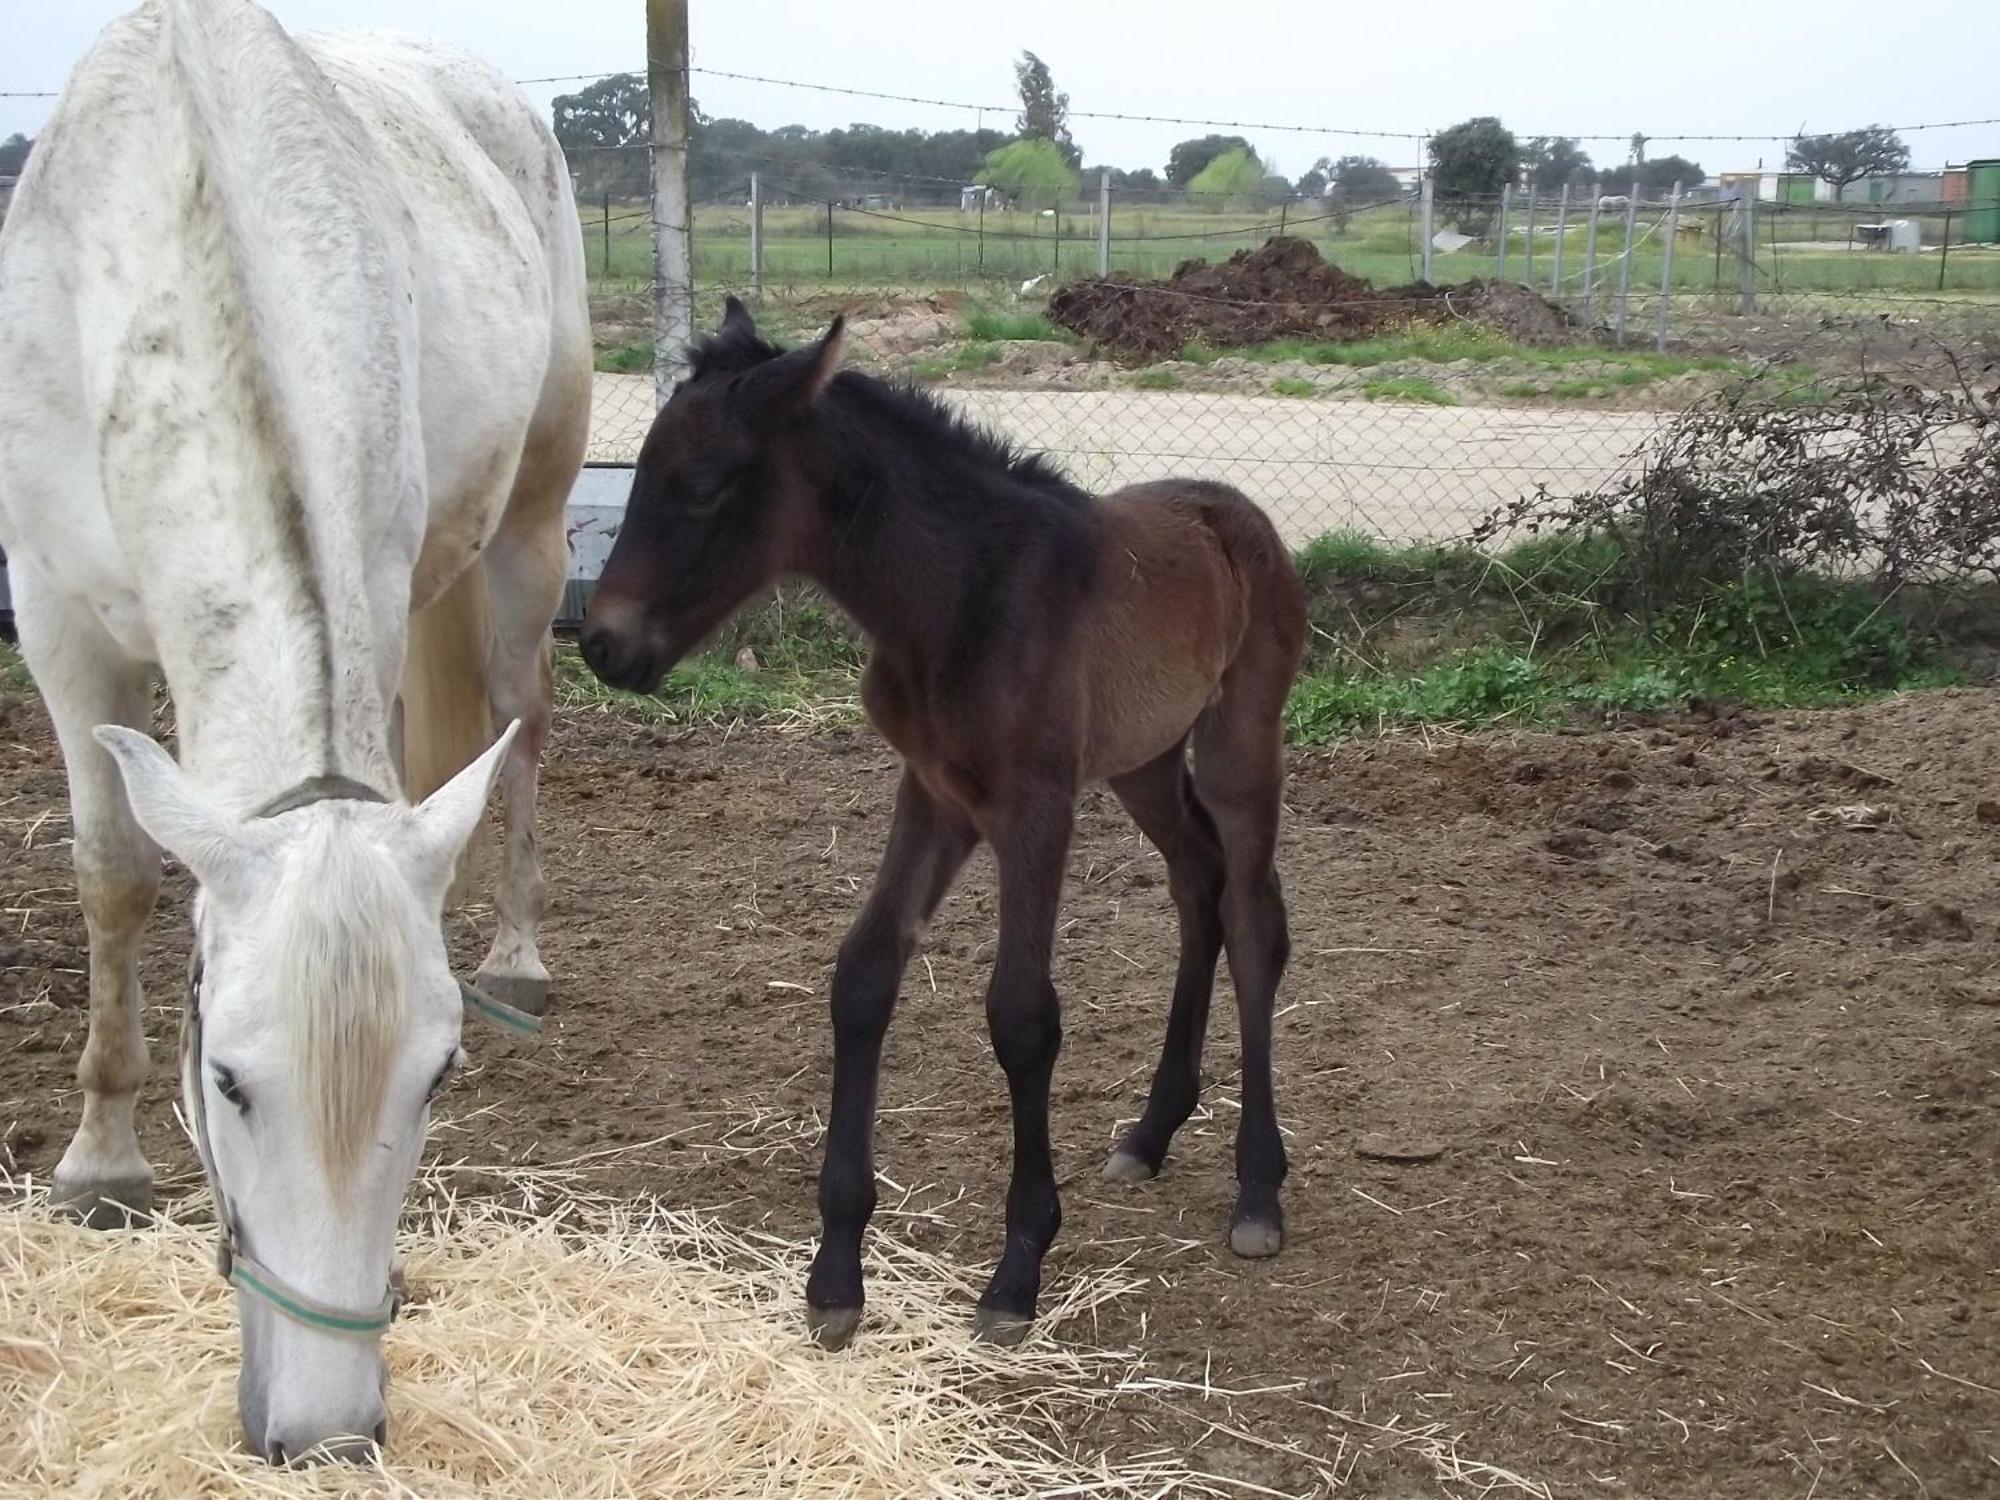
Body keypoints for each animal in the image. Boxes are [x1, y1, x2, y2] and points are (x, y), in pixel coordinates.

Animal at [0, 0, 588, 1464]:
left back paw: (516, 950)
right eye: (226, 1080)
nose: (325, 1434)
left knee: (520, 730)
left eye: (436, 1078)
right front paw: (101, 1163)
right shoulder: (56, 621)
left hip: (528, 526)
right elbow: (113, 876)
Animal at [580, 296, 1304, 1352]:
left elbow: (1023, 1018)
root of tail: (1239, 513)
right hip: (1142, 762)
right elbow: (863, 977)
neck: (962, 596)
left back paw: (1257, 1191)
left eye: (707, 484)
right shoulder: (933, 794)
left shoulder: (1034, 807)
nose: (601, 644)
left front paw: (1017, 1272)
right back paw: (1151, 1131)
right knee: (1195, 886)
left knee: (1251, 921)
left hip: (1240, 741)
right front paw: (835, 1274)